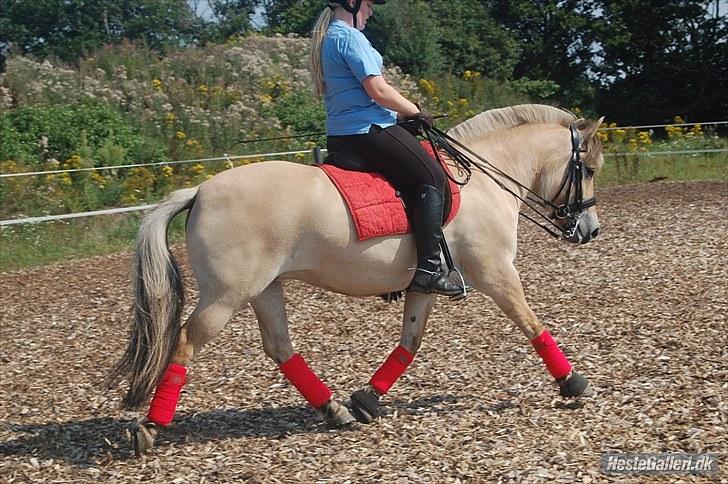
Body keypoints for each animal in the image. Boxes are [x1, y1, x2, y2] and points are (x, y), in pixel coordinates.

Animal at [108, 102, 604, 454]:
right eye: (590, 169)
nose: (590, 230)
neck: (480, 184)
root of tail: (200, 191)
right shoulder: (497, 272)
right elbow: (532, 324)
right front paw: (572, 383)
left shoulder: (427, 283)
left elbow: (409, 343)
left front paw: (367, 399)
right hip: (225, 295)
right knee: (185, 343)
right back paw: (149, 428)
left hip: (264, 288)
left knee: (280, 347)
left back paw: (334, 411)